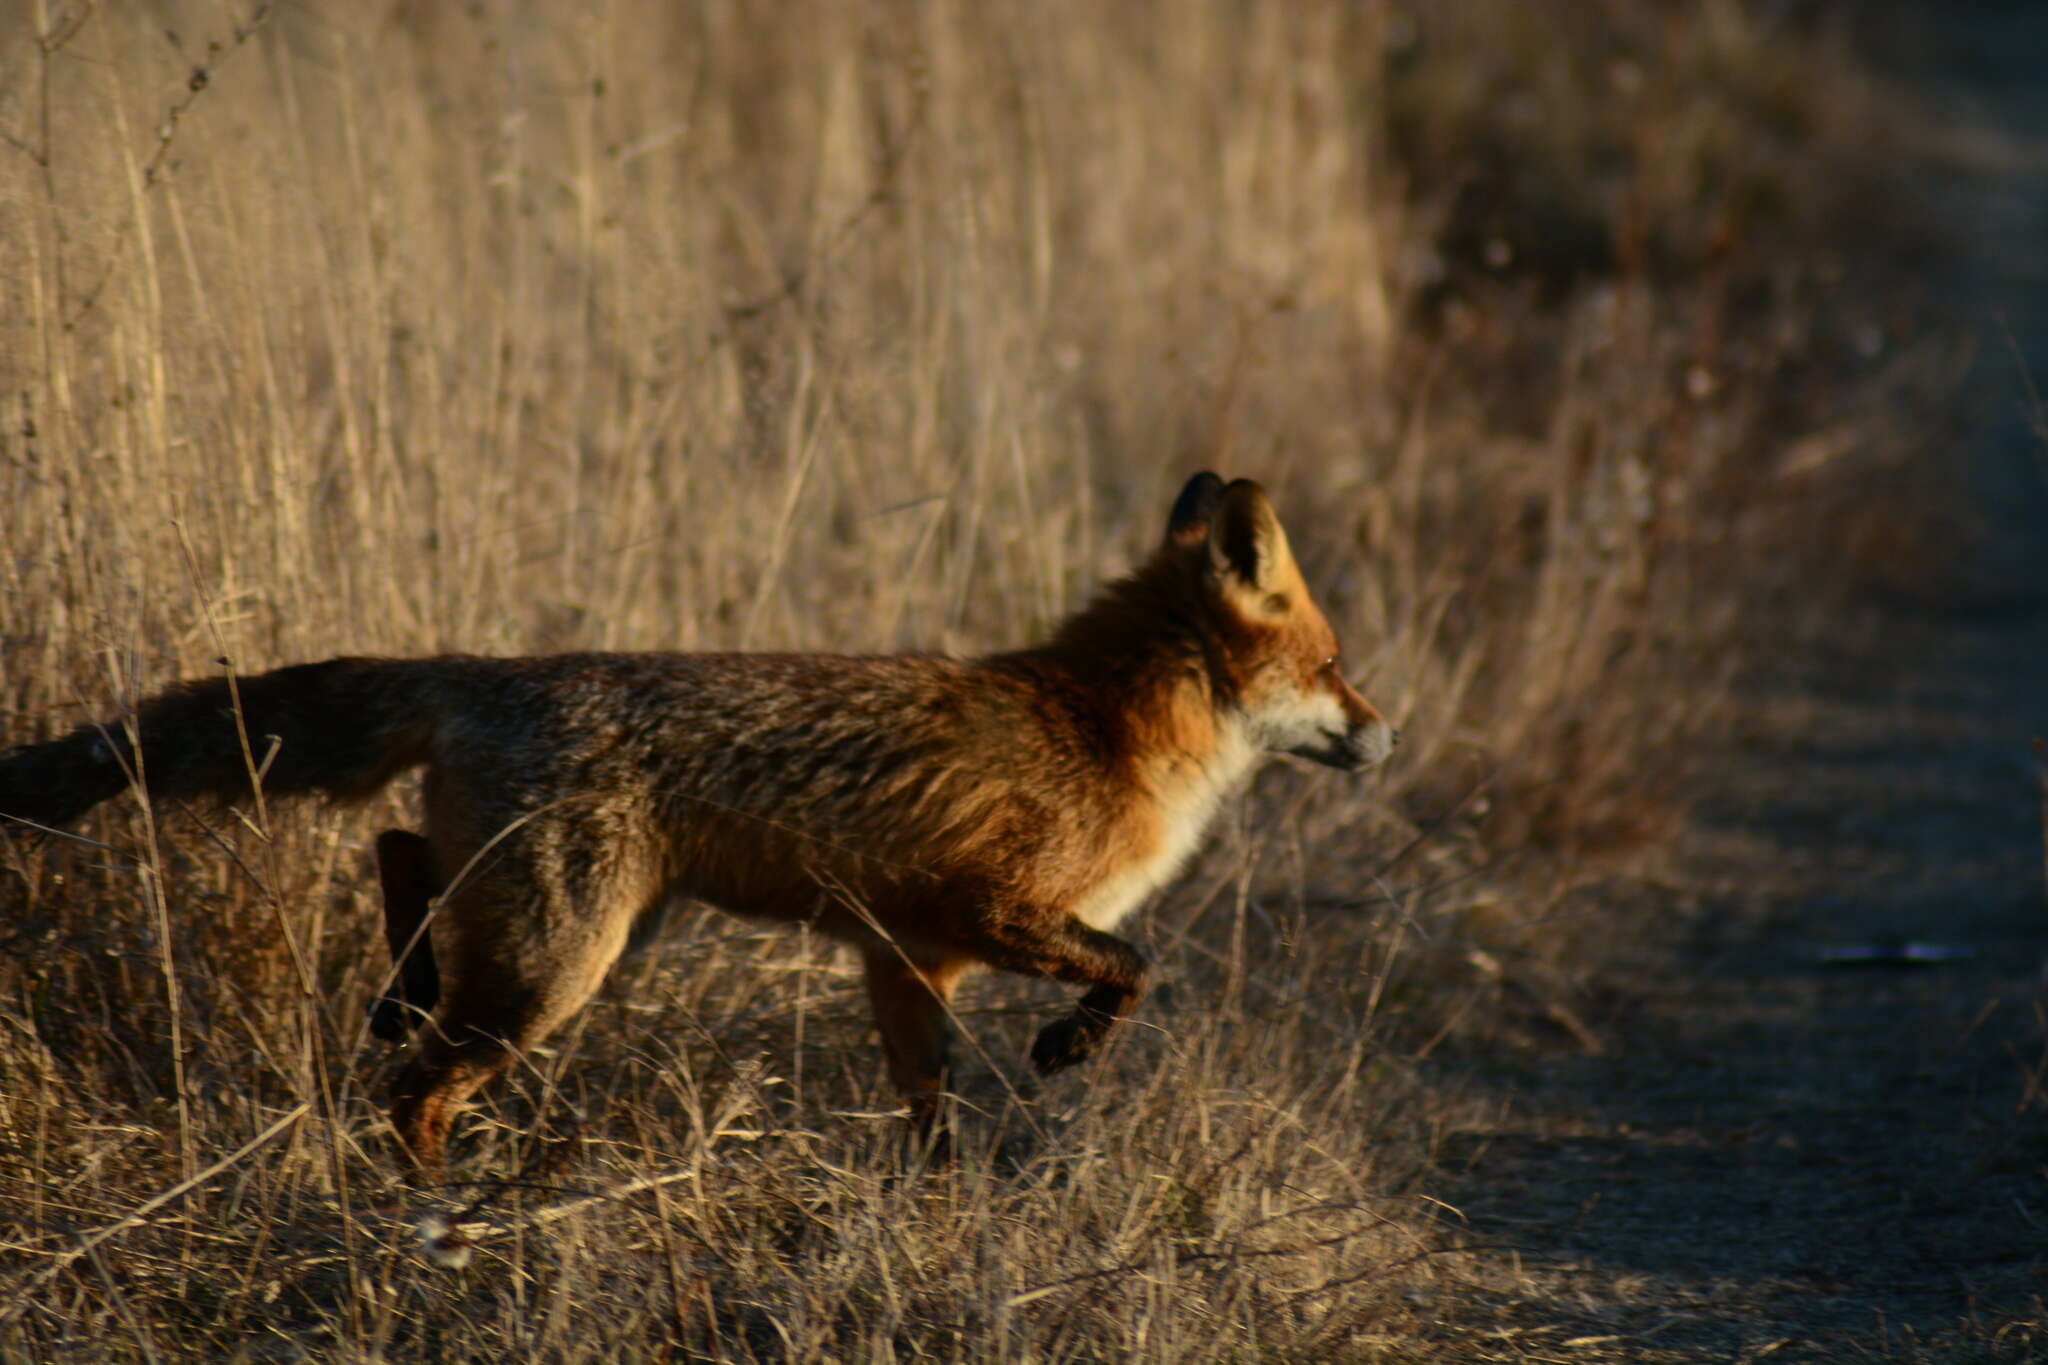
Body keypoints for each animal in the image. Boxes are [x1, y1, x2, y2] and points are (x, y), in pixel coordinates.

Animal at [0, 474, 1392, 1178]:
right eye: (1336, 667)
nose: (1387, 734)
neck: (1106, 732)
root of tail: (484, 672)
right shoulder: (990, 910)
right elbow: (1133, 968)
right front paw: (1069, 1045)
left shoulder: (905, 961)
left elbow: (933, 1116)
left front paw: (943, 1218)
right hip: (558, 965)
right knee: (415, 1087)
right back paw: (437, 1212)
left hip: (572, 922)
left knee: (394, 859)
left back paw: (399, 1003)